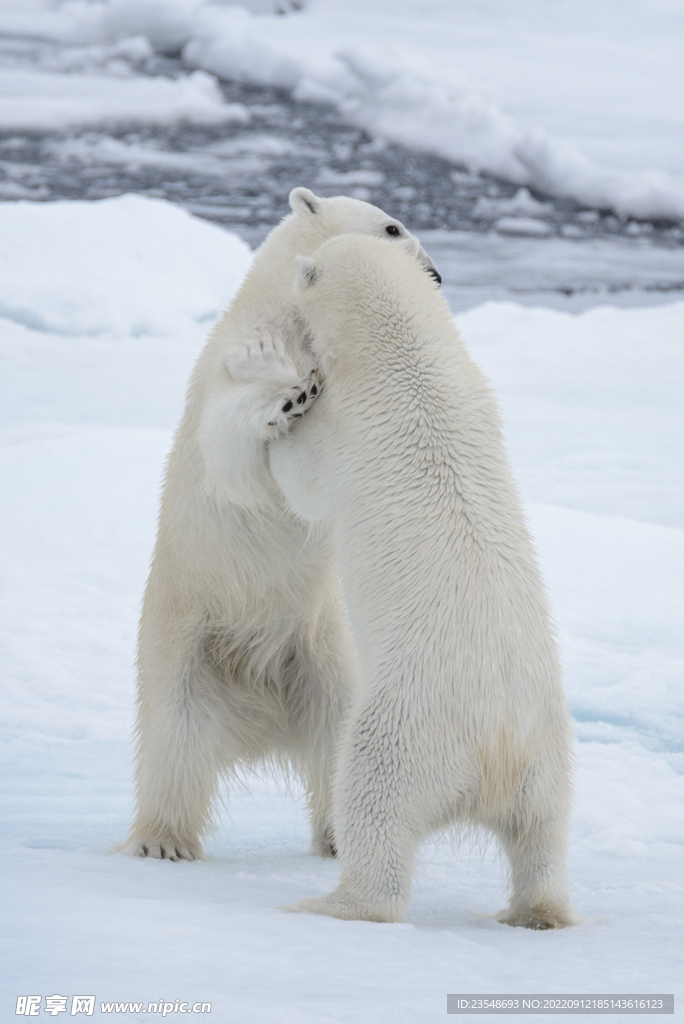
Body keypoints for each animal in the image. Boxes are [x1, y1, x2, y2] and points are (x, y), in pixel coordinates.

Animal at [120, 186, 438, 864]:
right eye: (392, 227)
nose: (434, 275)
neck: (292, 321)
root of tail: (258, 719)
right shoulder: (229, 363)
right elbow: (235, 450)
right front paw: (287, 396)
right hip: (183, 644)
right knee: (174, 742)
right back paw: (163, 841)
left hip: (322, 655)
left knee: (337, 735)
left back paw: (341, 835)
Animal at [266, 232, 577, 929]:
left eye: (304, 274)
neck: (411, 359)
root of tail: (496, 752)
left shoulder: (348, 429)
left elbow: (305, 483)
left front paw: (281, 422)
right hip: (550, 753)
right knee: (543, 834)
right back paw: (537, 910)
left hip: (405, 727)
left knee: (371, 801)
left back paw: (331, 901)